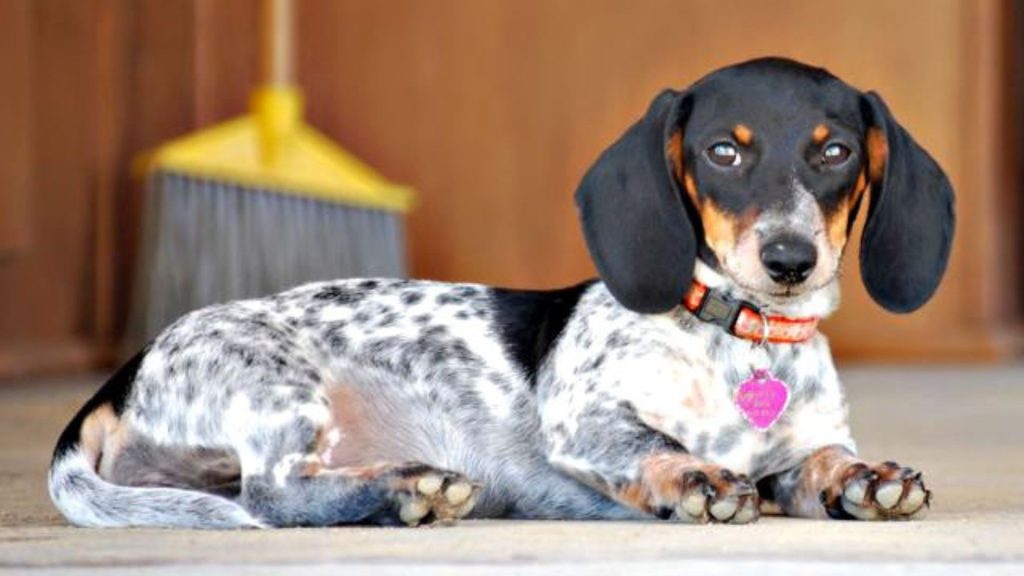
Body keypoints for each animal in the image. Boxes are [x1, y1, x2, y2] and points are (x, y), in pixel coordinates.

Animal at [49, 57, 950, 524]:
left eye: (833, 152)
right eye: (723, 153)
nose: (790, 259)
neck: (739, 344)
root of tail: (123, 375)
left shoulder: (793, 453)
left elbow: (821, 458)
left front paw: (864, 478)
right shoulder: (585, 420)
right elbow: (654, 444)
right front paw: (694, 479)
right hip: (278, 387)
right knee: (272, 493)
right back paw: (406, 489)